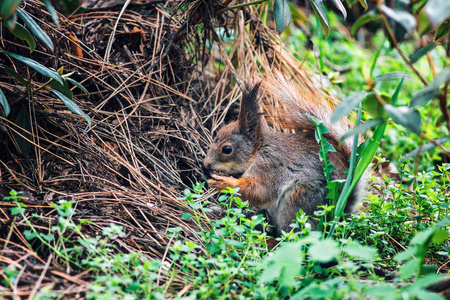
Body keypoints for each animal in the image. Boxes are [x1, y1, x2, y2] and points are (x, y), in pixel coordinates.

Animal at [202, 74, 368, 236]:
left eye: (227, 149)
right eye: (218, 133)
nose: (206, 164)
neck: (259, 149)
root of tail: (337, 218)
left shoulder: (269, 166)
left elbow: (260, 191)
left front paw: (223, 182)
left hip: (298, 202)